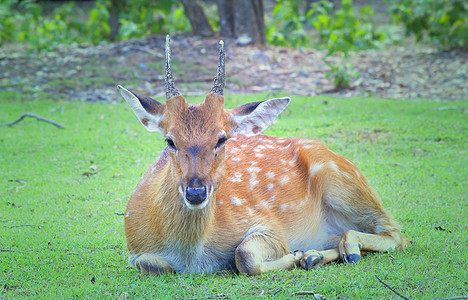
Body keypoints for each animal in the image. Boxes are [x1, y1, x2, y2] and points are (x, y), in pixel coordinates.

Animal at [117, 35, 410, 276]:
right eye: (170, 141)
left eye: (222, 139)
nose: (196, 192)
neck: (190, 255)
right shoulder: (134, 249)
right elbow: (150, 262)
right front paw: (302, 256)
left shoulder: (268, 223)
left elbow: (244, 255)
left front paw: (294, 255)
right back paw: (315, 255)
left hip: (344, 180)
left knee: (397, 233)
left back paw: (333, 251)